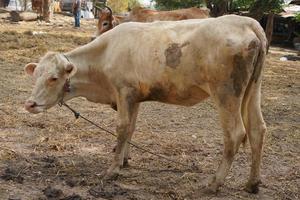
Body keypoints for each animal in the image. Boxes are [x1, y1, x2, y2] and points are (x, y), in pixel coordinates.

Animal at [23, 15, 268, 194]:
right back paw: (252, 183)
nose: (30, 104)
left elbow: (122, 128)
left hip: (227, 94)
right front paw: (124, 159)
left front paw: (112, 169)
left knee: (235, 134)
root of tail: (246, 21)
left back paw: (214, 183)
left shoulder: (124, 92)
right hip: (253, 89)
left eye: (53, 78)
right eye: (35, 75)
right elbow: (131, 128)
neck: (105, 54)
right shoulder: (135, 98)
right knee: (257, 129)